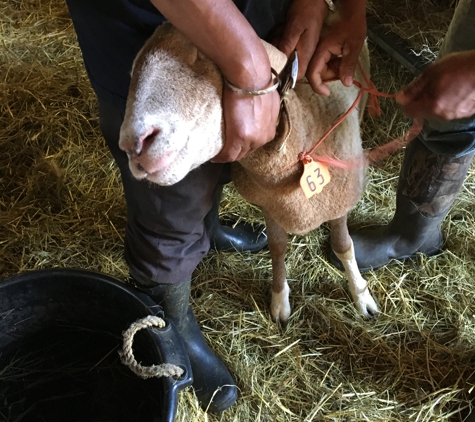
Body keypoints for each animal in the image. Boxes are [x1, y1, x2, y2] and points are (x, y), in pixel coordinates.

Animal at [119, 21, 380, 324]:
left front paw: (361, 295)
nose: (133, 143)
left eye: (200, 55)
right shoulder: (269, 204)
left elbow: (343, 245)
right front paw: (280, 301)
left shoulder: (339, 201)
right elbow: (277, 247)